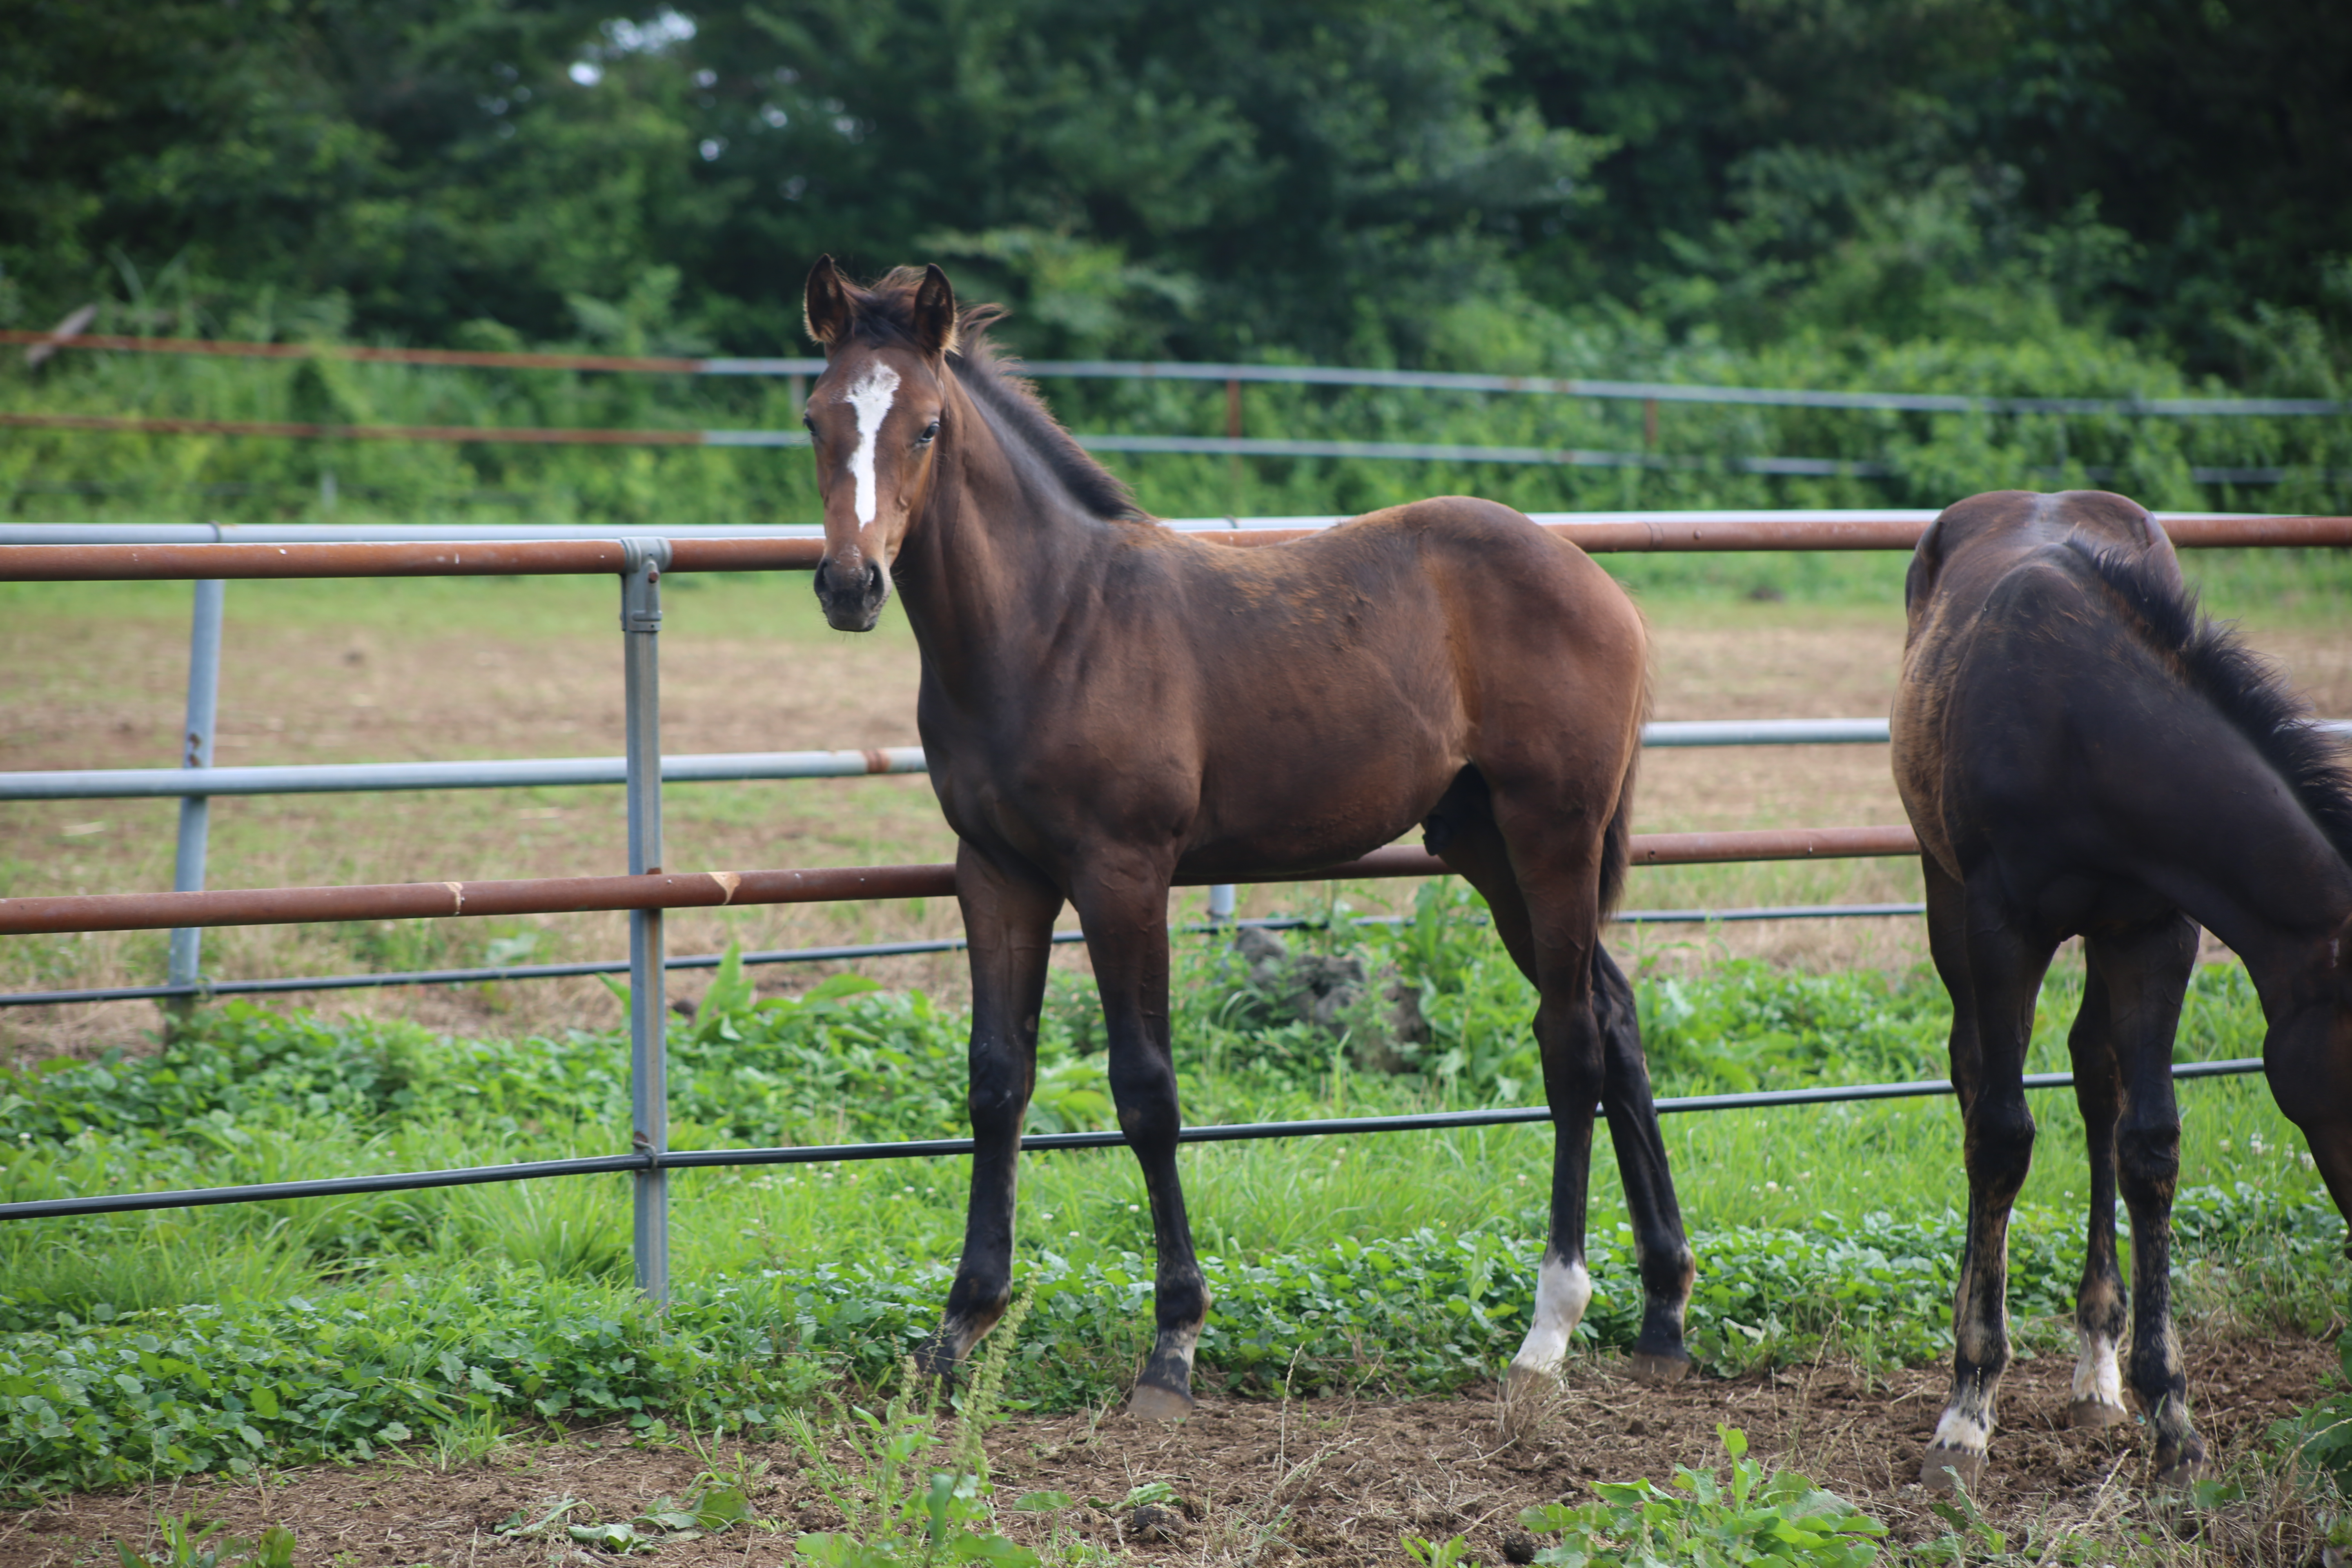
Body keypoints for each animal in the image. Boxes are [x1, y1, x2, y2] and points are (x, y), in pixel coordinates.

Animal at [800, 255, 1703, 1410]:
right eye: (817, 417)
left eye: (922, 425)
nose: (849, 584)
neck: (1050, 625)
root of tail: (1599, 583)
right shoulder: (995, 873)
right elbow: (997, 1080)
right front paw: (959, 1328)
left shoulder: (1123, 871)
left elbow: (1146, 1090)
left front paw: (1173, 1343)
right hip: (1486, 846)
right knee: (1617, 1018)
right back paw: (1662, 1311)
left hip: (1553, 832)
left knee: (1573, 1040)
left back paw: (1548, 1330)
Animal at [1891, 486, 2352, 1486]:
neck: (2085, 727)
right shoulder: (2000, 926)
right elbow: (2002, 1136)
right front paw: (1967, 1408)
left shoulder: (2156, 931)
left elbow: (2149, 1144)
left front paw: (2172, 1418)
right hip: (1943, 891)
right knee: (1974, 1076)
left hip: (2103, 943)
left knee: (2094, 1077)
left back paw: (2097, 1367)